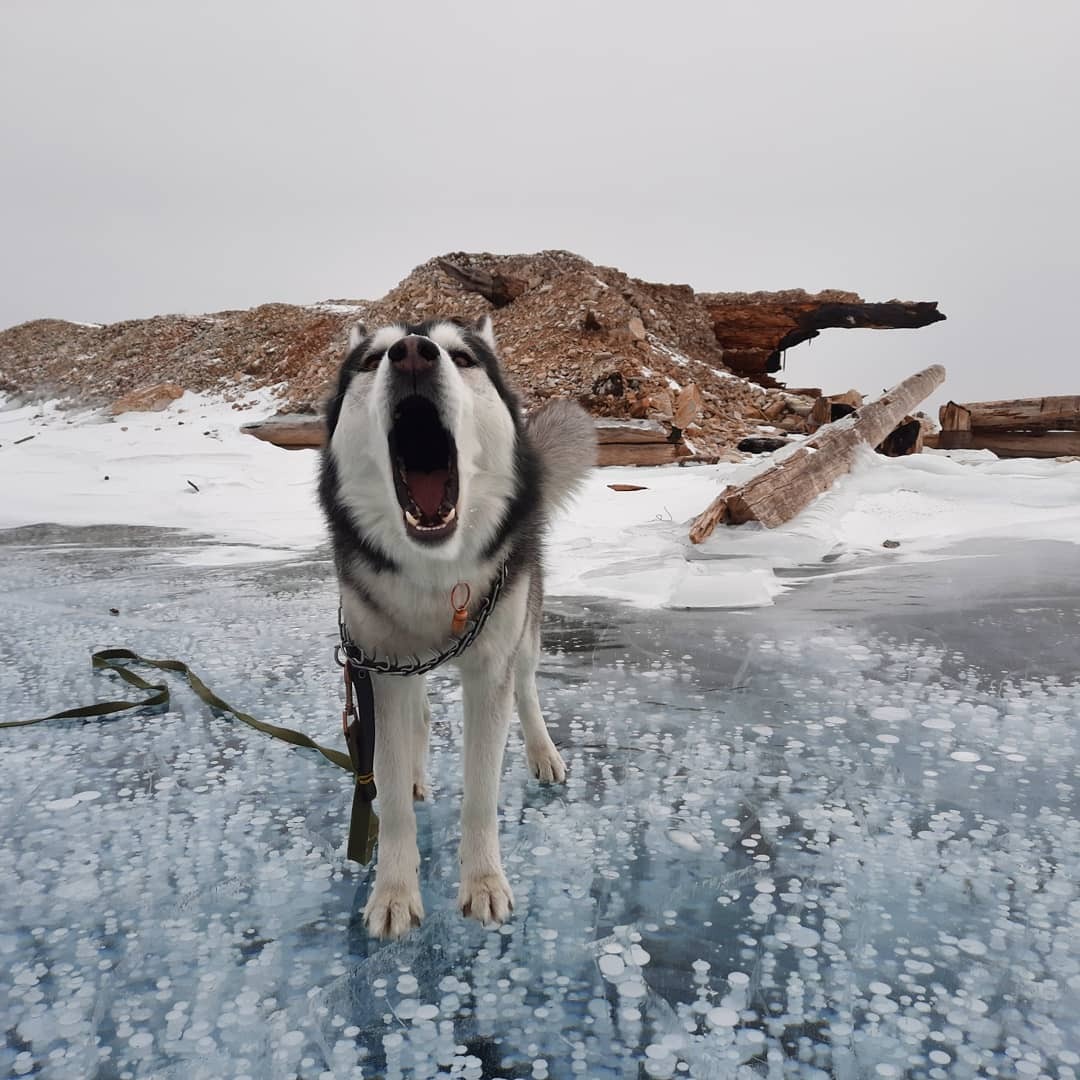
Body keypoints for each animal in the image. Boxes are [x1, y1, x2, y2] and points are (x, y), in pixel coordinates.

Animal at [315, 315, 596, 937]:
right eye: (371, 361)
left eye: (463, 357)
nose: (411, 354)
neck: (436, 576)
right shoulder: (379, 664)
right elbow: (390, 788)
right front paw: (394, 892)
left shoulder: (490, 664)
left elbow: (481, 789)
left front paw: (484, 882)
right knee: (417, 717)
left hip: (524, 627)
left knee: (526, 688)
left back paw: (543, 753)